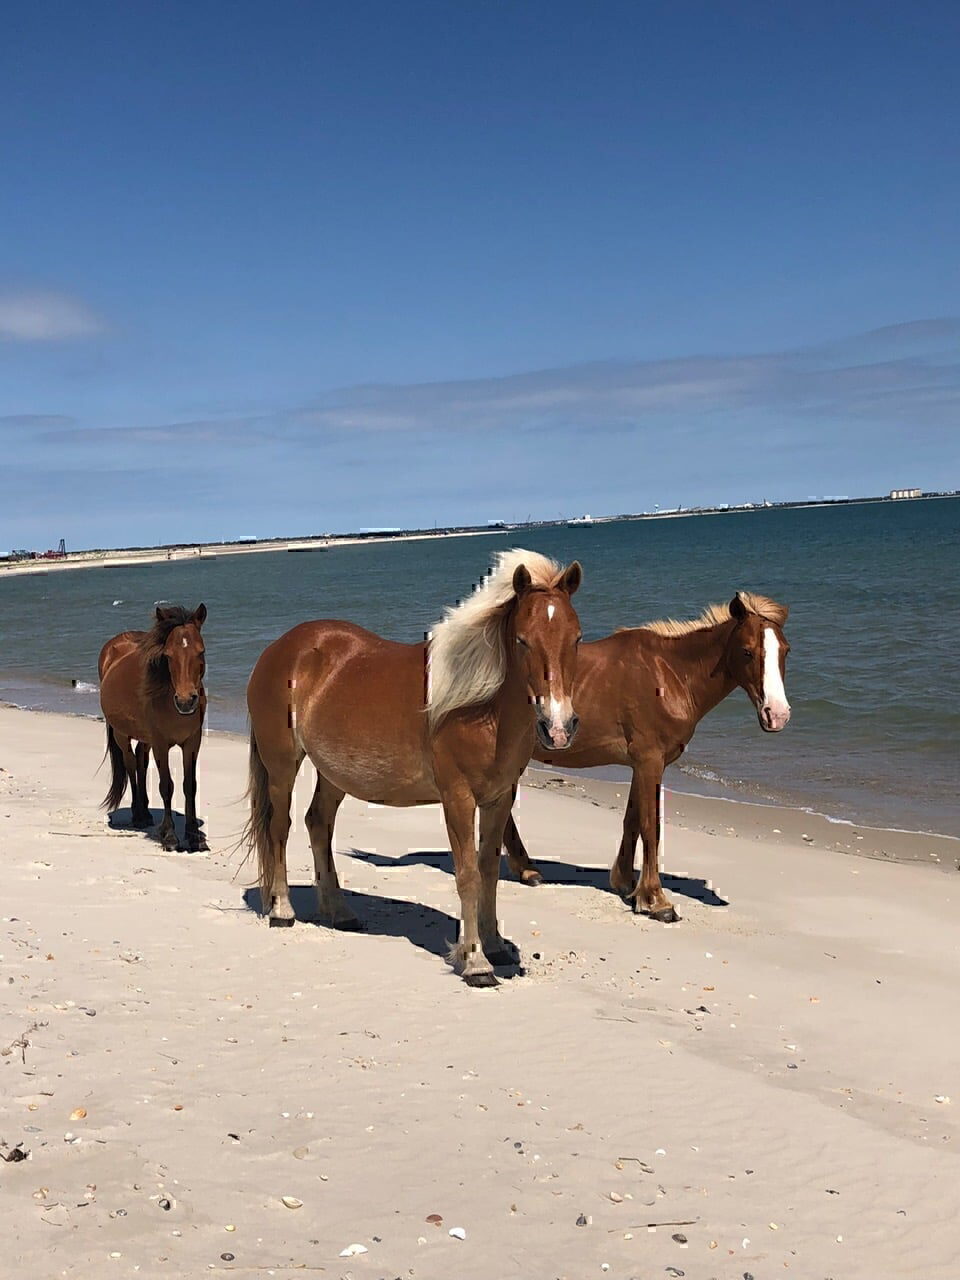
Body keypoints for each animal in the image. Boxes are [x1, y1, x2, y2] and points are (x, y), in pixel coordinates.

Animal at [99, 606, 208, 855]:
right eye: (167, 655)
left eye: (201, 652)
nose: (186, 701)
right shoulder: (161, 744)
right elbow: (166, 786)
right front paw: (170, 837)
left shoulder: (192, 743)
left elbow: (190, 786)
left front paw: (194, 837)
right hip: (121, 734)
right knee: (131, 764)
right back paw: (138, 815)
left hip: (144, 737)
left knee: (141, 760)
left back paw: (147, 813)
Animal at [244, 550, 583, 988]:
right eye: (523, 641)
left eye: (576, 638)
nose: (558, 728)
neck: (479, 706)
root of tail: (280, 649)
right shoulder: (457, 798)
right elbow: (468, 874)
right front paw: (475, 962)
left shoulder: (499, 798)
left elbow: (490, 869)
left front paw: (495, 946)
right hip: (283, 765)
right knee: (279, 829)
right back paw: (282, 910)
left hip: (334, 774)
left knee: (317, 823)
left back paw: (340, 912)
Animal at [499, 588, 793, 921]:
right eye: (746, 651)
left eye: (785, 651)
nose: (777, 714)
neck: (671, 675)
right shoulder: (651, 760)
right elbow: (652, 826)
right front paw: (657, 901)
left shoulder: (641, 763)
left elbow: (633, 820)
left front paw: (628, 884)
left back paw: (527, 870)